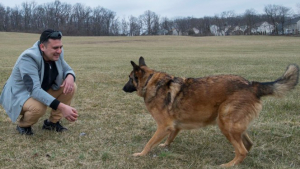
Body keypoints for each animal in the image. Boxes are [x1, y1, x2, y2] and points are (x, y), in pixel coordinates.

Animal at [121, 56, 298, 166]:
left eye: (129, 78)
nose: (122, 88)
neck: (150, 82)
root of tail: (252, 85)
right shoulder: (174, 127)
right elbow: (169, 138)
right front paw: (164, 146)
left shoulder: (164, 126)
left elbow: (150, 142)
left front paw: (141, 154)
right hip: (233, 125)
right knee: (247, 145)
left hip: (225, 123)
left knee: (242, 151)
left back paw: (229, 164)